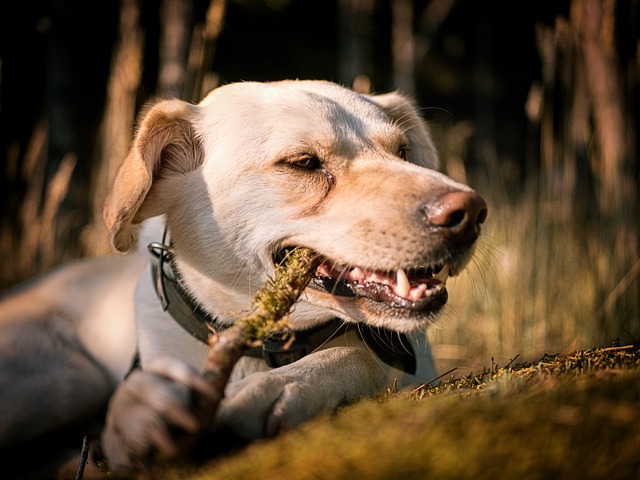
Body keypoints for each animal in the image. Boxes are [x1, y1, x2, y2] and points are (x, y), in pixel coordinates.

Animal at [0, 79, 484, 476]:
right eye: (303, 162)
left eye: (402, 152)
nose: (471, 213)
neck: (262, 343)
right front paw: (139, 413)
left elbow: (356, 355)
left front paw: (277, 387)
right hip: (70, 378)